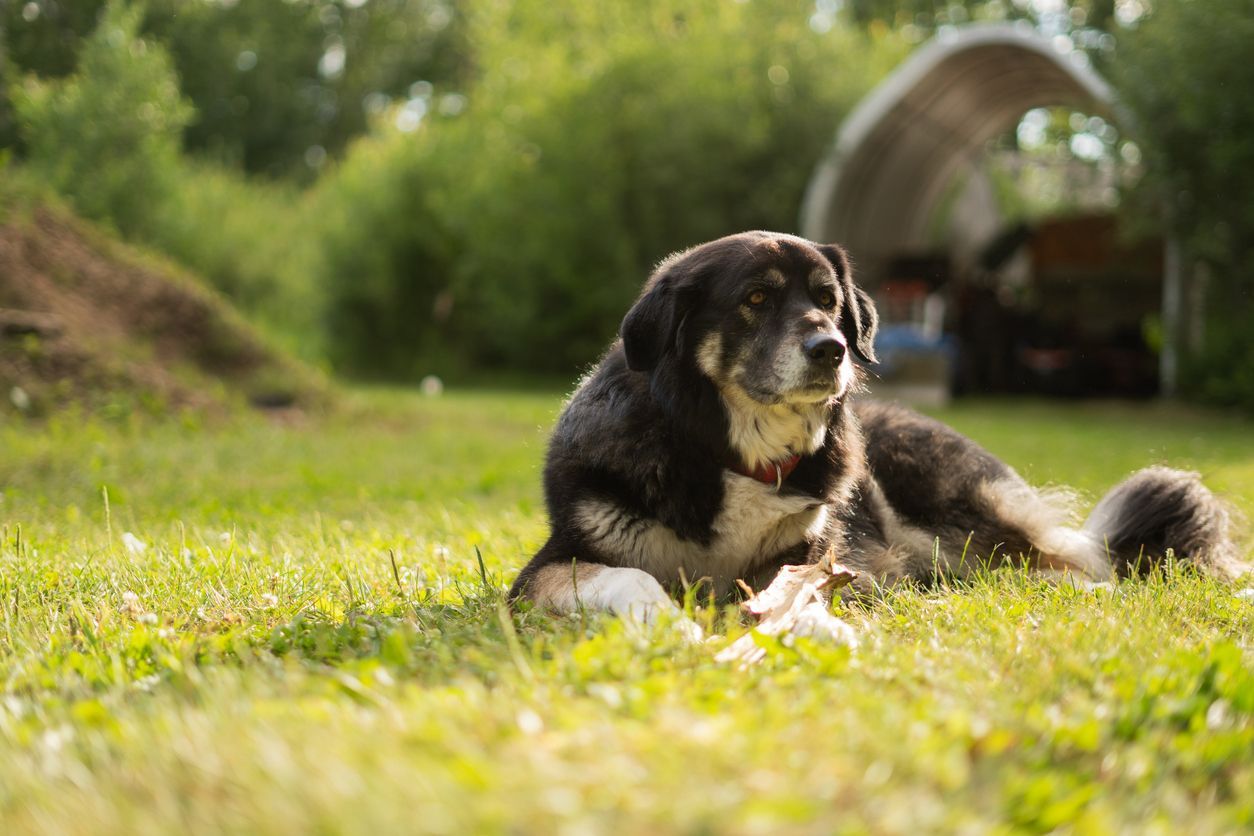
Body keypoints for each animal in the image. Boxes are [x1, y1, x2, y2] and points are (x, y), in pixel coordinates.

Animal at [506, 229, 1243, 626]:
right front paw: (663, 617)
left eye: (828, 300)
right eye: (756, 299)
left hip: (959, 514)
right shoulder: (547, 568)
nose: (832, 348)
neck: (727, 452)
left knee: (1080, 559)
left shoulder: (812, 557)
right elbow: (631, 577)